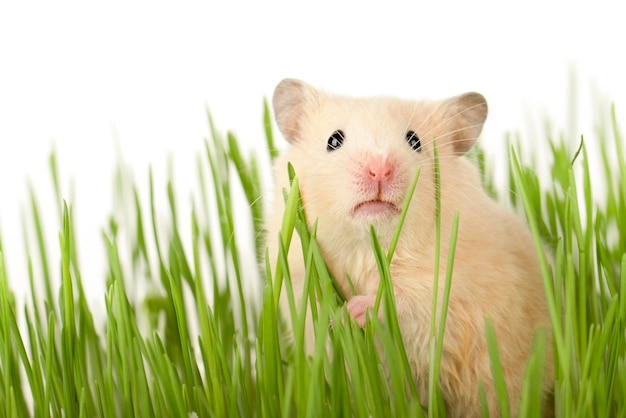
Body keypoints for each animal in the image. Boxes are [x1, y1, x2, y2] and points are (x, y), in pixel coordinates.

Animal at [266, 77, 548, 414]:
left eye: (414, 141)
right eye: (334, 140)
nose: (379, 171)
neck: (368, 249)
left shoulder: (455, 286)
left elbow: (401, 297)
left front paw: (353, 310)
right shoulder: (294, 276)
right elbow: (315, 304)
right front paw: (338, 317)